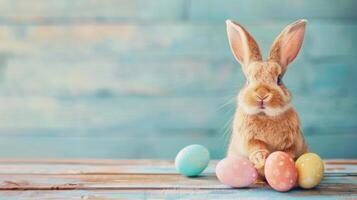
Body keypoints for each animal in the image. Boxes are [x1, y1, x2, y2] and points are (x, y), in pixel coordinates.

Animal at [225, 19, 308, 177]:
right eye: (248, 80)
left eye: (279, 80)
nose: (262, 94)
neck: (265, 116)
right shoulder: (249, 139)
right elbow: (256, 147)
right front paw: (260, 159)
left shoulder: (295, 141)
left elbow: (289, 151)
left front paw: (282, 160)